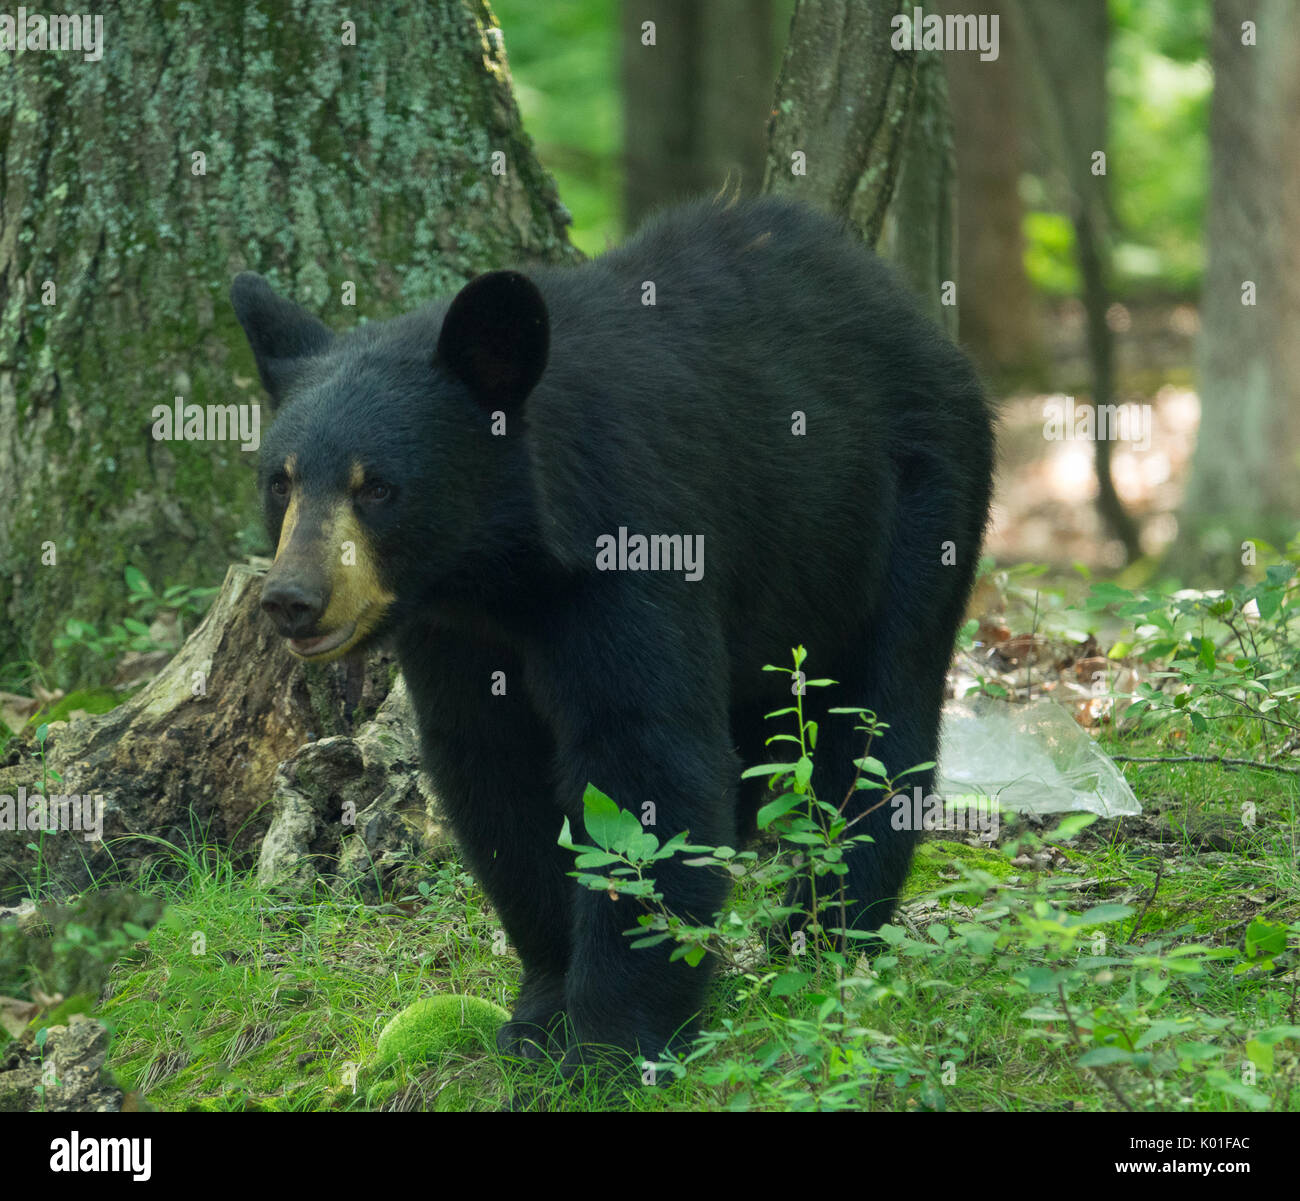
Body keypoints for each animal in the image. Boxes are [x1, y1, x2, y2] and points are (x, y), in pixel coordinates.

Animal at [231, 195, 994, 1076]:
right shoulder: (452, 631)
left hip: (909, 506)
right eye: (280, 480)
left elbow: (644, 759)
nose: (292, 599)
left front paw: (609, 1044)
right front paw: (540, 1012)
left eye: (379, 487)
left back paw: (822, 933)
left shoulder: (635, 544)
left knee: (876, 719)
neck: (505, 571)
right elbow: (493, 773)